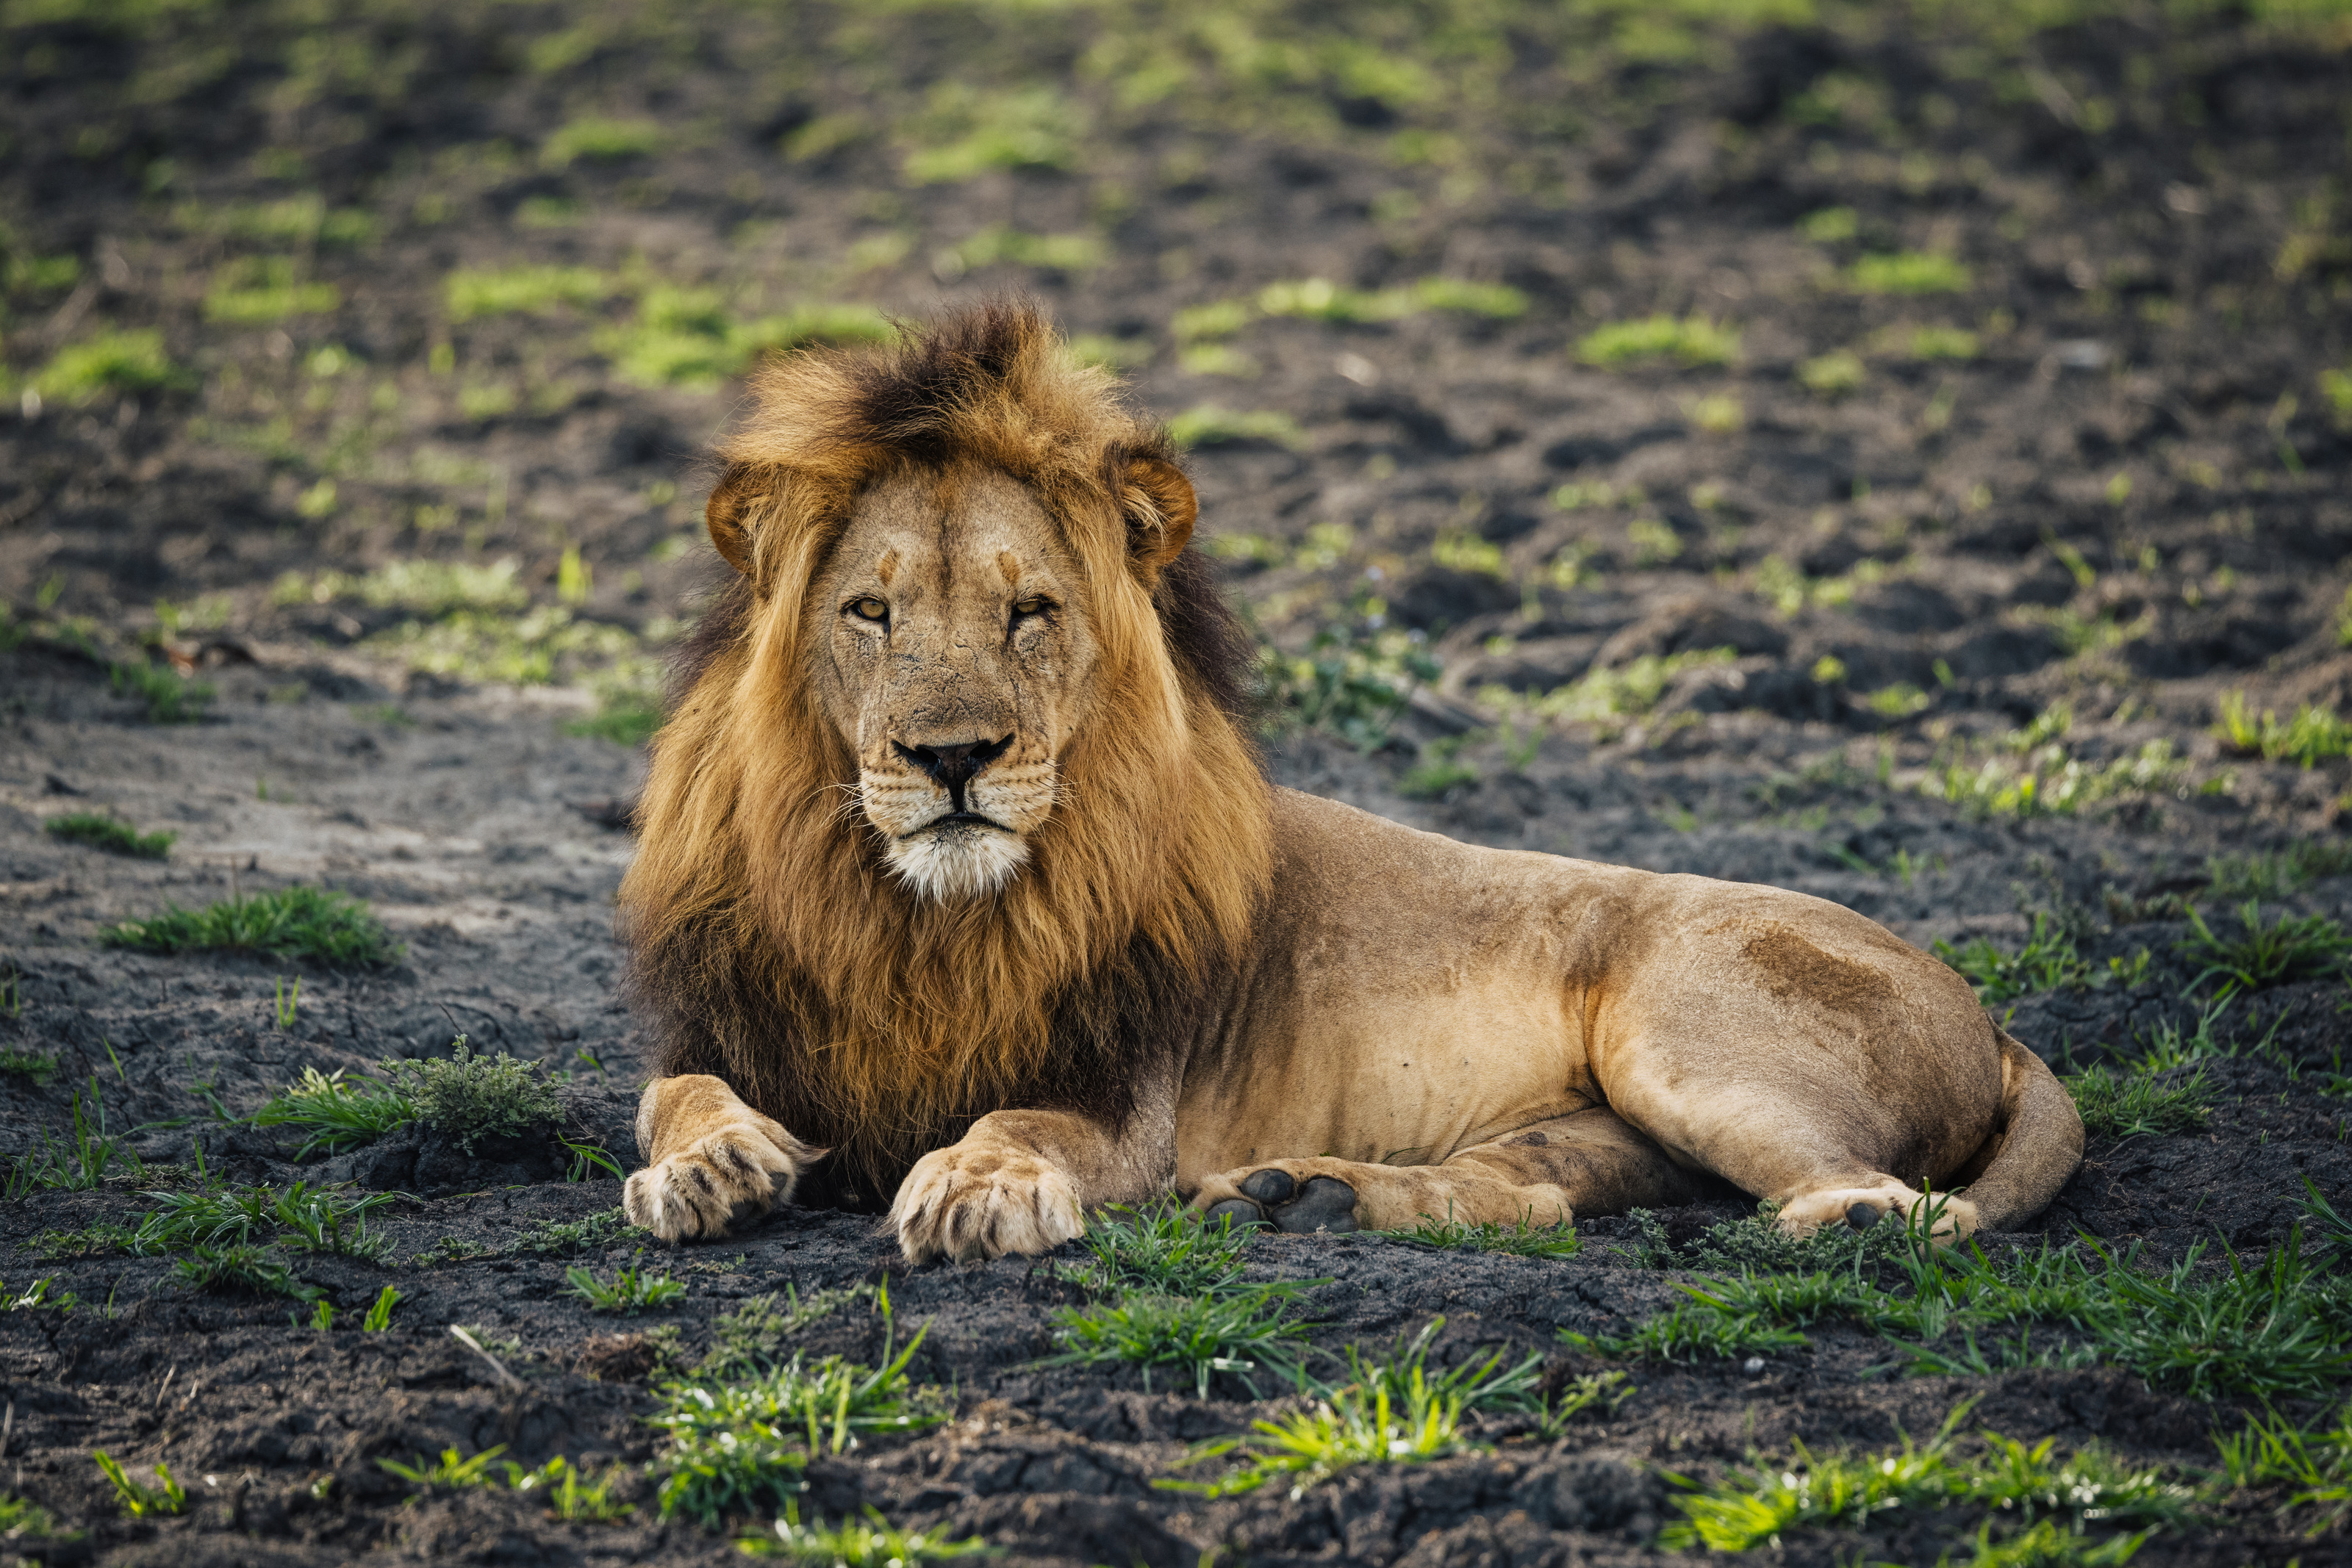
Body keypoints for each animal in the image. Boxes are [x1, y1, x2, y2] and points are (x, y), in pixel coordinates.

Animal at [616, 300, 2083, 1264]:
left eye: (1032, 611)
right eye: (867, 612)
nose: (952, 757)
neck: (913, 919)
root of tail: (1986, 1007)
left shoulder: (1122, 1097)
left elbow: (1014, 1113)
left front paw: (977, 1185)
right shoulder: (724, 1023)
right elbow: (670, 1095)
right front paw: (707, 1165)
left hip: (1683, 1039)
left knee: (1893, 1199)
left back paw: (1831, 1227)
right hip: (1608, 1122)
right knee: (1532, 1190)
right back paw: (1305, 1195)